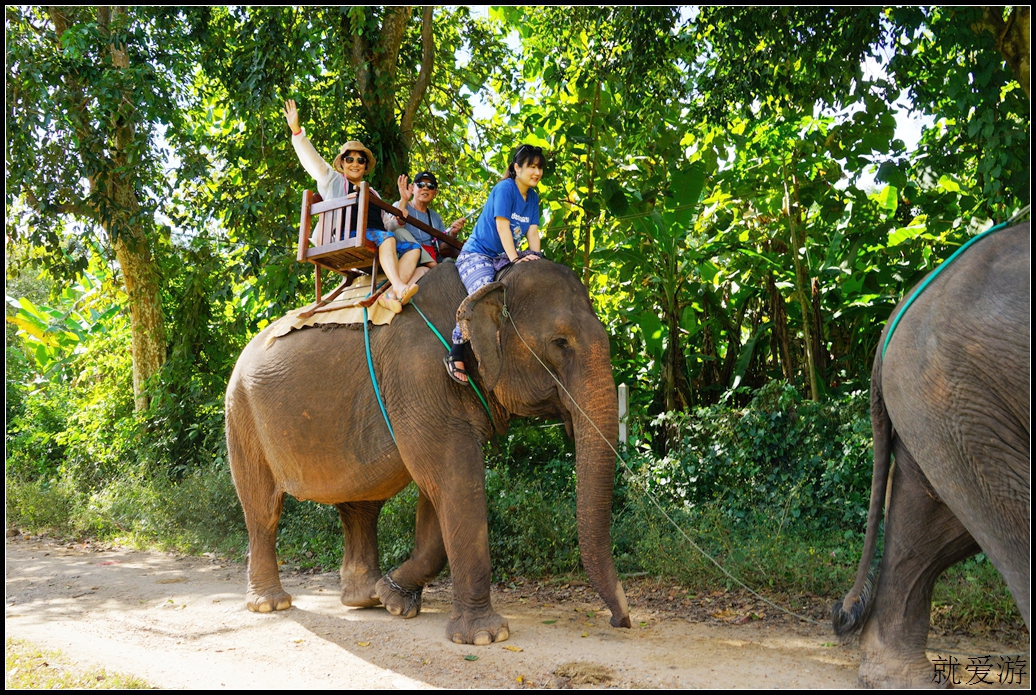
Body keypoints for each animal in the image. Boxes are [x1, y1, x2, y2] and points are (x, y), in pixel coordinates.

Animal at [224, 257, 629, 646]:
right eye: (560, 342)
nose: (620, 621)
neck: (489, 281)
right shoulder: (420, 375)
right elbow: (454, 482)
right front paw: (485, 636)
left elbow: (438, 494)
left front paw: (392, 597)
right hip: (241, 415)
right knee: (263, 509)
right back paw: (270, 604)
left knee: (362, 505)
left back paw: (364, 599)